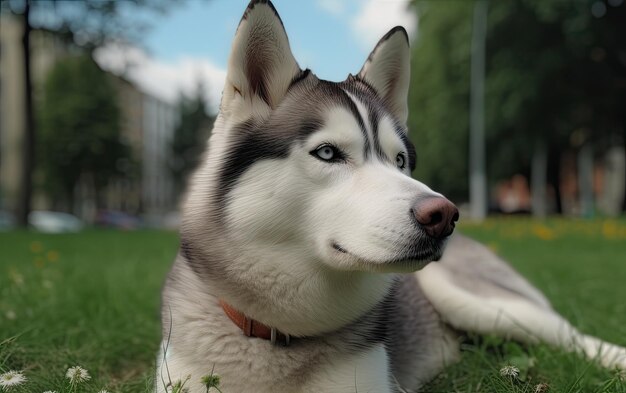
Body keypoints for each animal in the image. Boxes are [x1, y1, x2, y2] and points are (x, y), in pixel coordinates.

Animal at [156, 1, 624, 390]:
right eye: (328, 152)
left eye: (400, 160)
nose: (445, 214)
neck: (278, 332)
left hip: (475, 299)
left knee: (574, 336)